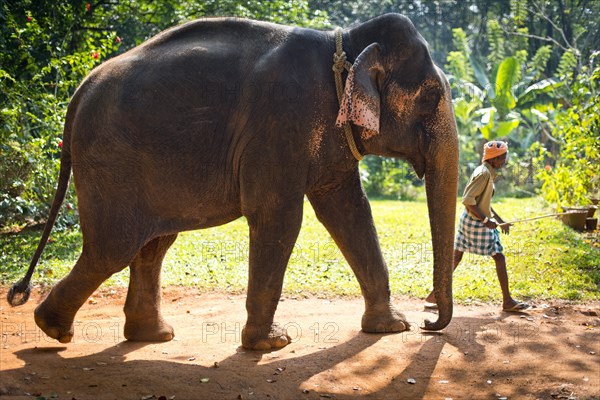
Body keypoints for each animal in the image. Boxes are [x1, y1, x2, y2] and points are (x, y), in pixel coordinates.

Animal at [7, 12, 460, 350]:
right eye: (431, 97)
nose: (428, 322)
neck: (345, 41)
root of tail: (79, 90)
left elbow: (350, 212)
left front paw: (391, 327)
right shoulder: (281, 120)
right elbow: (278, 217)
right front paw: (270, 344)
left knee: (152, 244)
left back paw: (151, 336)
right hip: (110, 160)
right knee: (113, 248)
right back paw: (54, 329)